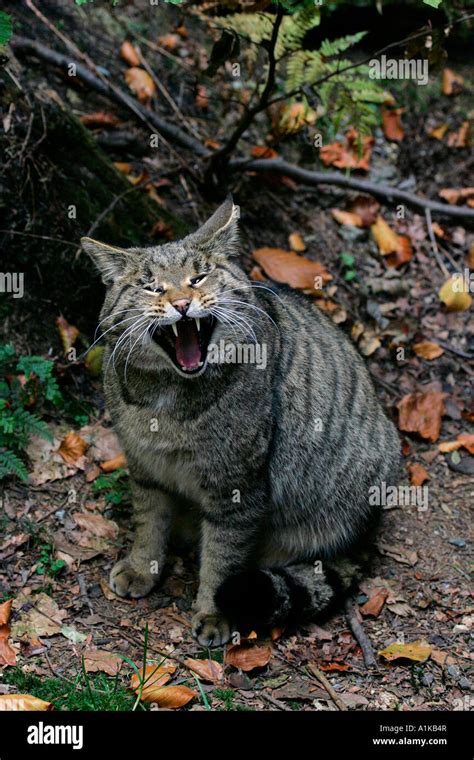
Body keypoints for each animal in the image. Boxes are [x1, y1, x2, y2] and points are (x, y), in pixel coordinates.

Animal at [81, 197, 400, 648]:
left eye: (198, 277)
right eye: (151, 287)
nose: (182, 303)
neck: (167, 398)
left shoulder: (237, 488)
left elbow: (223, 558)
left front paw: (215, 613)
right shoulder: (145, 467)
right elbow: (148, 524)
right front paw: (143, 568)